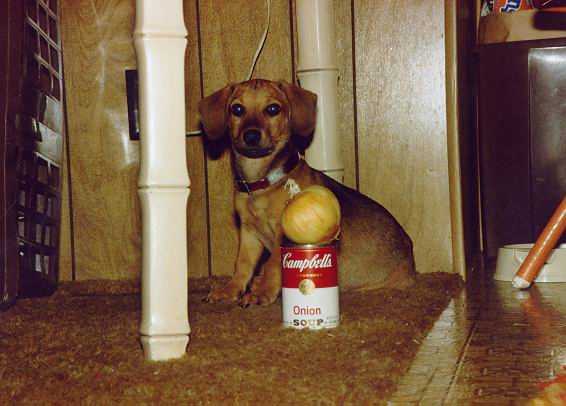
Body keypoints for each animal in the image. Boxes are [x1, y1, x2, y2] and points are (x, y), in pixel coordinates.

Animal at [200, 79, 418, 306]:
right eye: (237, 109)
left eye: (273, 109)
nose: (251, 136)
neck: (263, 183)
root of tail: (411, 263)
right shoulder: (249, 233)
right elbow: (242, 264)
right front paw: (231, 290)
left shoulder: (281, 235)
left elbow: (272, 265)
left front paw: (262, 292)